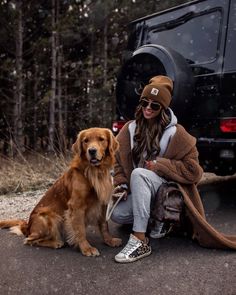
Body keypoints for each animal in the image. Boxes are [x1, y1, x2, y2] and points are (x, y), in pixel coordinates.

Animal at [0, 128, 121, 256]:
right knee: (30, 240)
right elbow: (80, 230)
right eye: (86, 141)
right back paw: (55, 242)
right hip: (50, 216)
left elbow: (104, 225)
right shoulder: (76, 206)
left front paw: (109, 240)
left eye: (101, 139)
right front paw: (86, 248)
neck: (94, 172)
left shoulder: (103, 203)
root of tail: (28, 226)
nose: (92, 151)